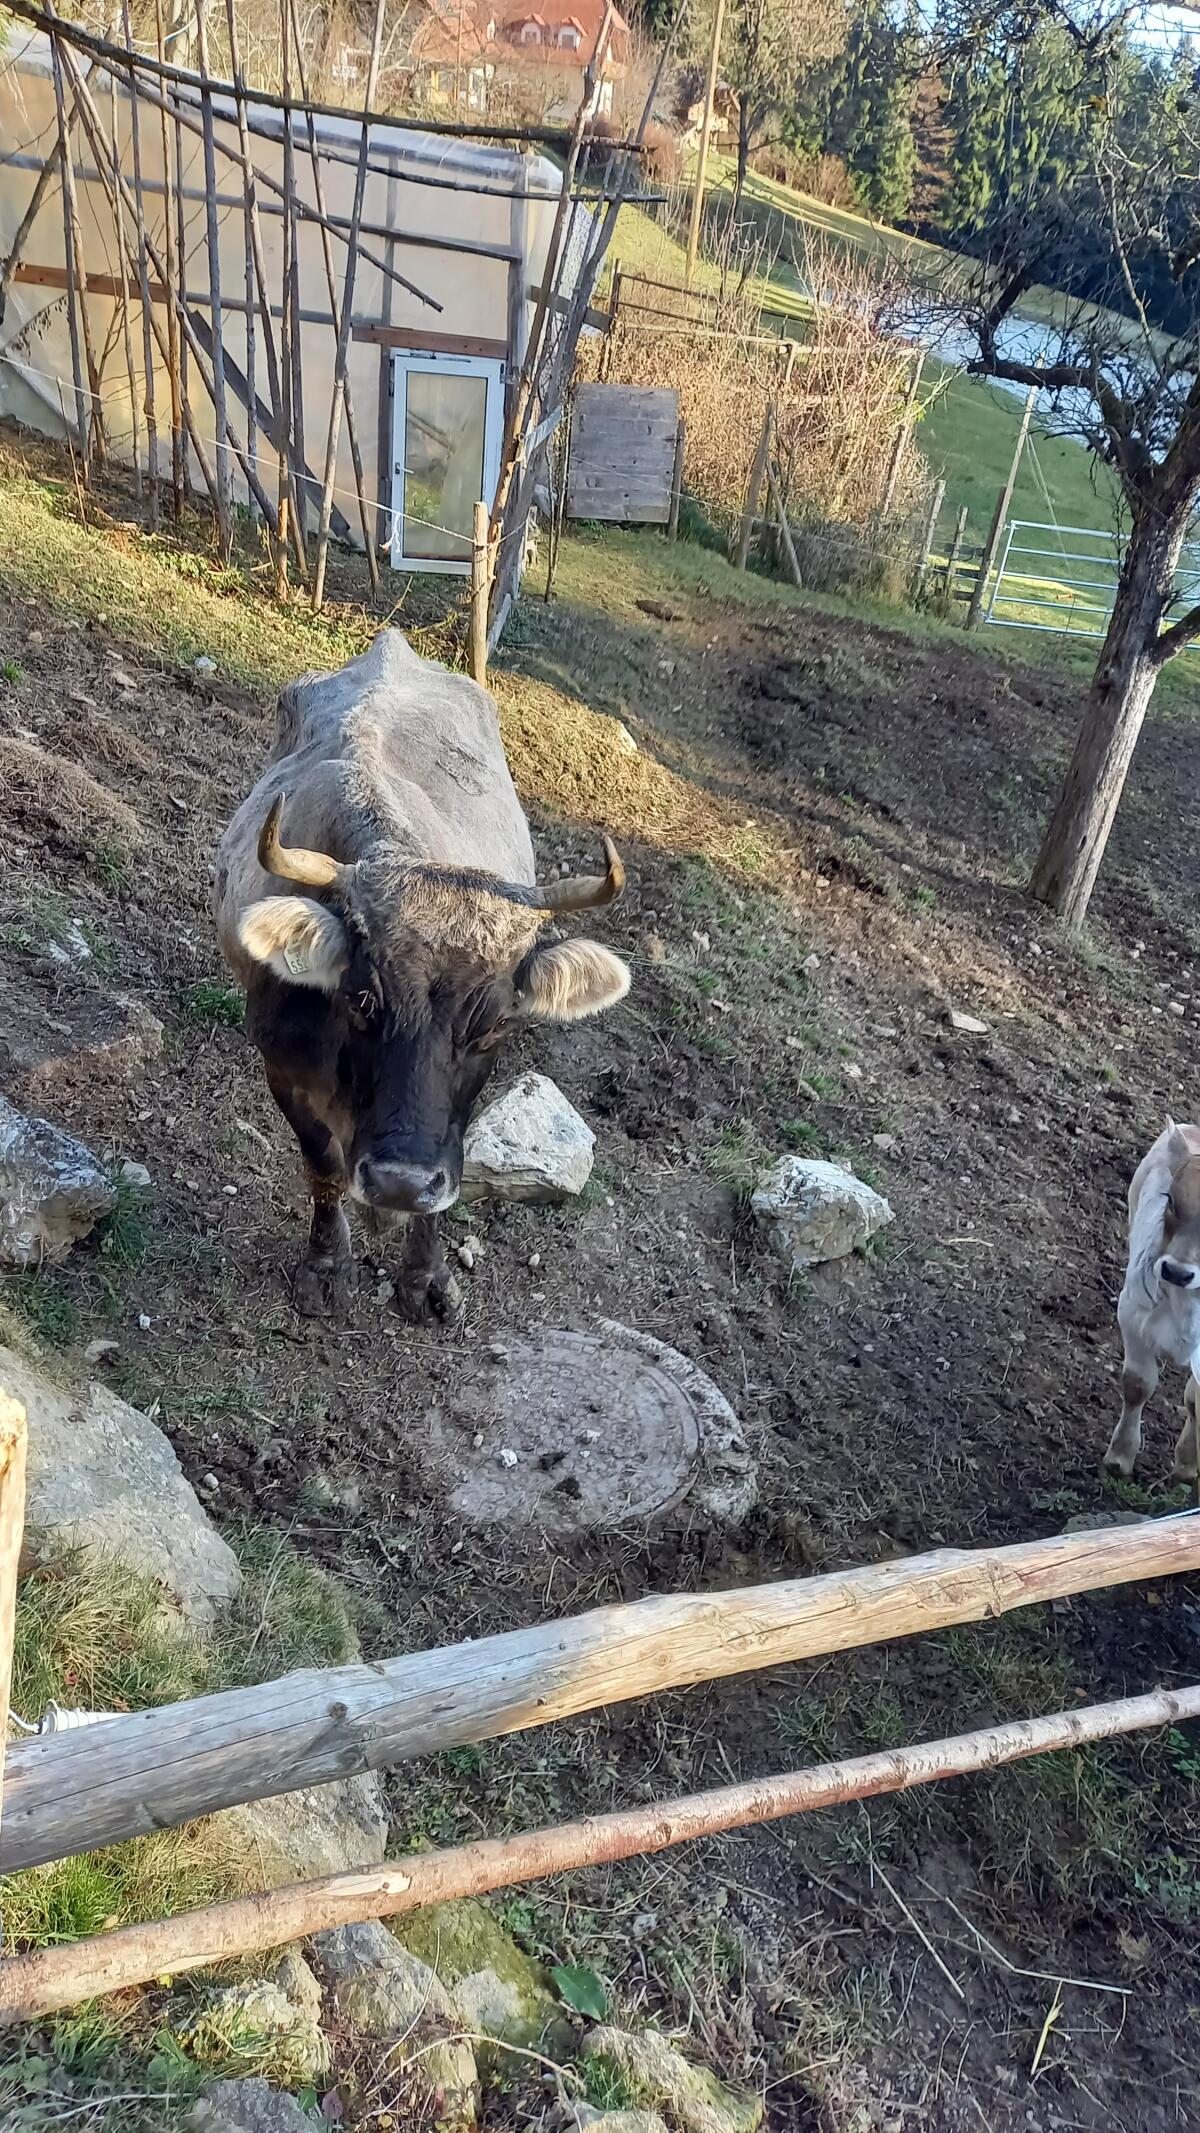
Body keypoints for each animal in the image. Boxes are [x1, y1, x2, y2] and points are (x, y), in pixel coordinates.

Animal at [213, 630, 630, 1320]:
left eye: (495, 1025)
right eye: (360, 1000)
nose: (399, 1183)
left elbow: (446, 1183)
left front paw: (425, 1276)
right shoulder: (284, 1073)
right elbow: (323, 1165)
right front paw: (327, 1265)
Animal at [1104, 1119, 1200, 1482]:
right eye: (1170, 1200)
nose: (1176, 1271)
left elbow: (1195, 1401)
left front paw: (1187, 1467)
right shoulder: (1132, 1314)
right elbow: (1137, 1384)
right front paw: (1119, 1459)